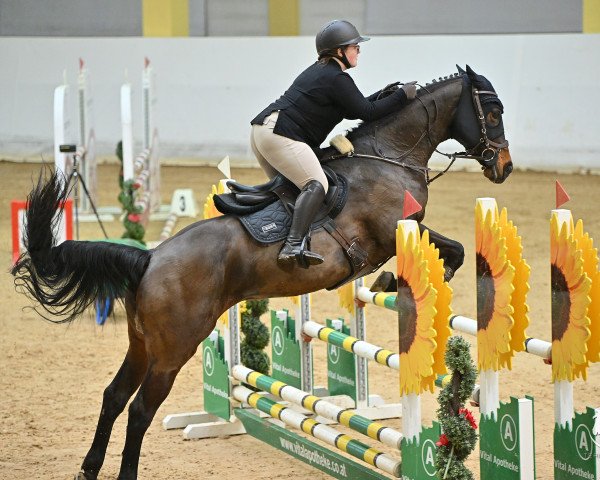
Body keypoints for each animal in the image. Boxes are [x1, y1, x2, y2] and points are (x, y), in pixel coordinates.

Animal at [12, 64, 510, 480]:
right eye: (493, 111)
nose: (503, 166)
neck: (387, 157)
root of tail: (149, 259)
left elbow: (449, 250)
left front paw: (388, 282)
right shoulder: (394, 231)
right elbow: (454, 249)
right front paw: (394, 281)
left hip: (141, 344)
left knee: (114, 397)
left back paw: (88, 470)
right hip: (173, 350)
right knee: (138, 411)